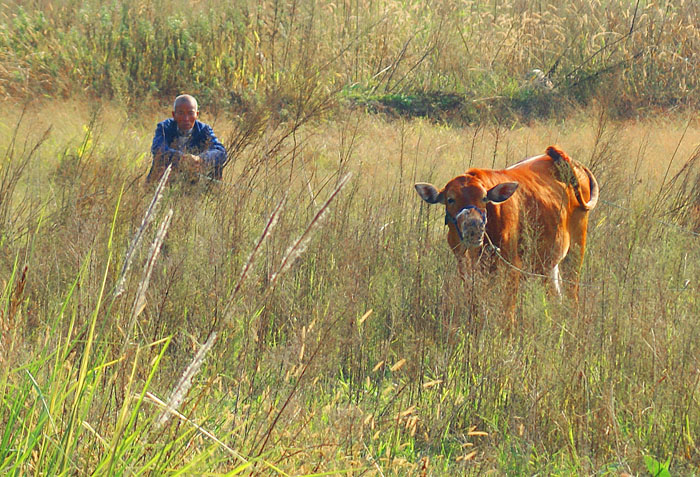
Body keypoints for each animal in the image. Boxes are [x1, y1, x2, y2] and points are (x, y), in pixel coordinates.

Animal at [416, 145, 596, 296]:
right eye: (450, 199)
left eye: (484, 198)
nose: (474, 227)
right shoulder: (467, 273)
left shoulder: (511, 271)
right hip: (550, 264)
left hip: (576, 251)